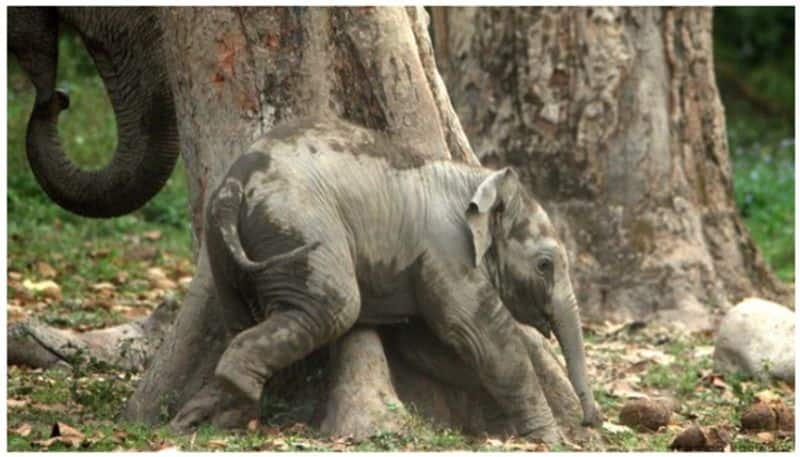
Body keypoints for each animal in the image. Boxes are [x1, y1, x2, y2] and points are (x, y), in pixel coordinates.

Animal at [206, 116, 600, 440]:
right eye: (544, 265)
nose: (591, 420)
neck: (474, 177)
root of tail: (233, 187)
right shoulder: (448, 249)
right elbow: (480, 335)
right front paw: (548, 438)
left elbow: (423, 345)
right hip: (297, 226)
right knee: (336, 306)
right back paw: (238, 384)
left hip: (222, 249)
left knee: (237, 312)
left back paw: (235, 405)